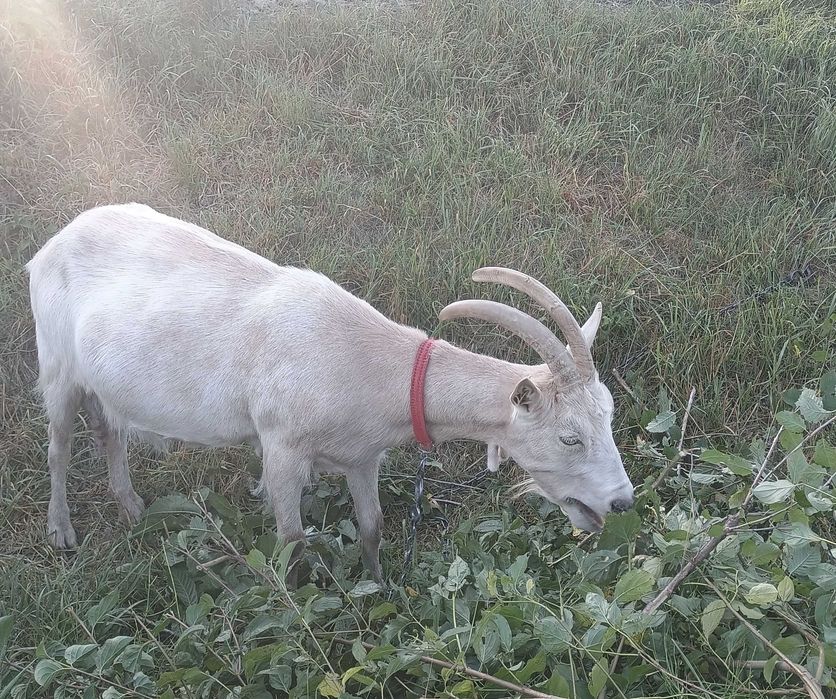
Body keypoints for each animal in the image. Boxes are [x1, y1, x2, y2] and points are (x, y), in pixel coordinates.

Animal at [27, 203, 634, 582]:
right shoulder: (281, 445)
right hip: (56, 363)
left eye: (608, 417)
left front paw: (380, 589)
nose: (621, 502)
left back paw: (131, 507)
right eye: (570, 437)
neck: (367, 363)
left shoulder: (362, 456)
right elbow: (292, 538)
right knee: (58, 446)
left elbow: (373, 526)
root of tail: (51, 245)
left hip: (100, 381)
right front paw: (304, 607)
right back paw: (61, 531)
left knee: (109, 429)